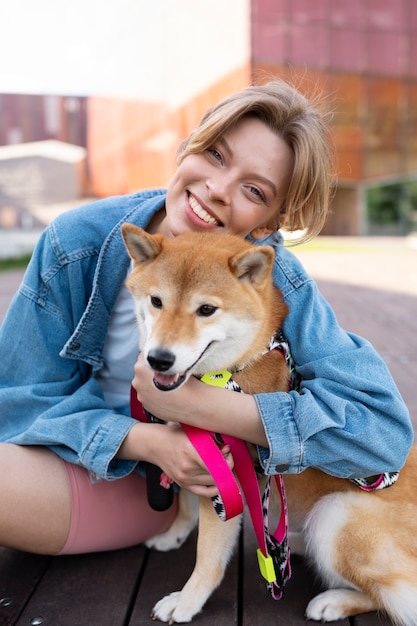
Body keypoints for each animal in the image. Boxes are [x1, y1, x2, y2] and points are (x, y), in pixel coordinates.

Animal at [120, 224, 416, 624]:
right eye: (156, 301)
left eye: (206, 309)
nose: (159, 359)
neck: (233, 368)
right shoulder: (190, 453)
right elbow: (183, 504)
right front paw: (173, 535)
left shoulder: (226, 477)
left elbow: (208, 555)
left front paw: (186, 601)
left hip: (333, 516)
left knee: (397, 596)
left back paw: (334, 601)